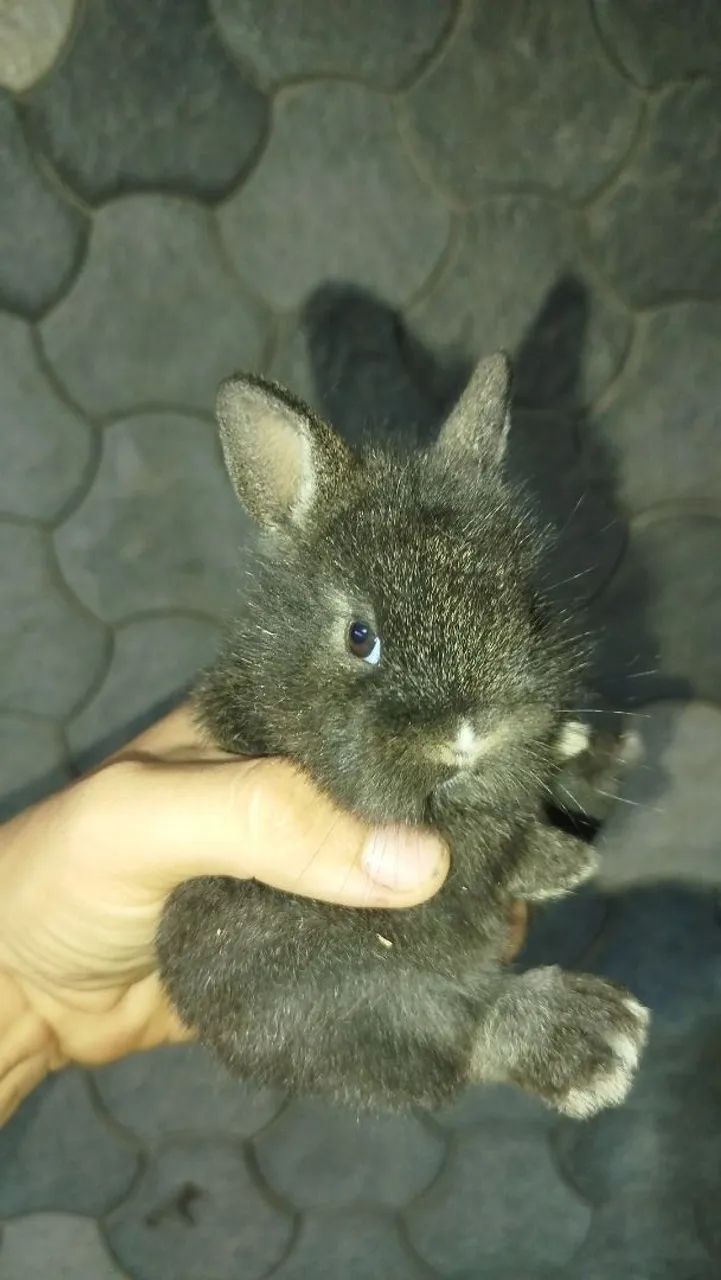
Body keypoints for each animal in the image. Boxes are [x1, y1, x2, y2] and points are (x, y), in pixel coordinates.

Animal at [156, 352, 649, 1119]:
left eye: (526, 609)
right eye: (361, 637)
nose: (468, 734)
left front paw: (563, 848)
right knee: (458, 1038)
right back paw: (593, 1042)